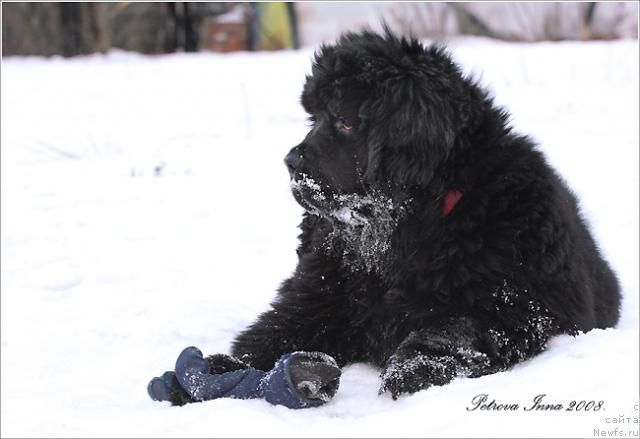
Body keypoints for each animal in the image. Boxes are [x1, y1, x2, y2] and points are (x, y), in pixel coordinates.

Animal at [155, 31, 620, 406]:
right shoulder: (320, 296)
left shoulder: (516, 305)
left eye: (344, 122)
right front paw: (215, 370)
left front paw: (414, 370)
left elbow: (456, 328)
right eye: (314, 117)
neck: (411, 230)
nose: (290, 162)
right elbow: (273, 332)